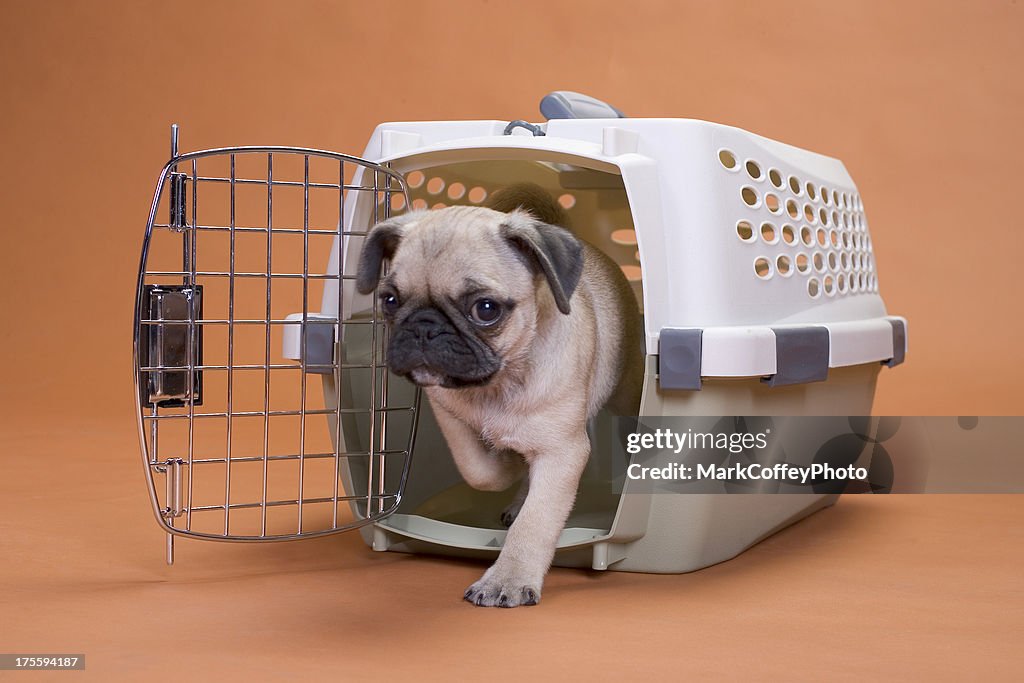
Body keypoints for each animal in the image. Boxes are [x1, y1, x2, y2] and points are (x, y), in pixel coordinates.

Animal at [358, 183, 638, 610]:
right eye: (389, 300)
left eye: (485, 309)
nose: (424, 327)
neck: (497, 383)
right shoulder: (448, 415)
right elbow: (480, 471)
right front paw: (506, 461)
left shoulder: (562, 451)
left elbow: (535, 523)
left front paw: (508, 578)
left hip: (624, 392)